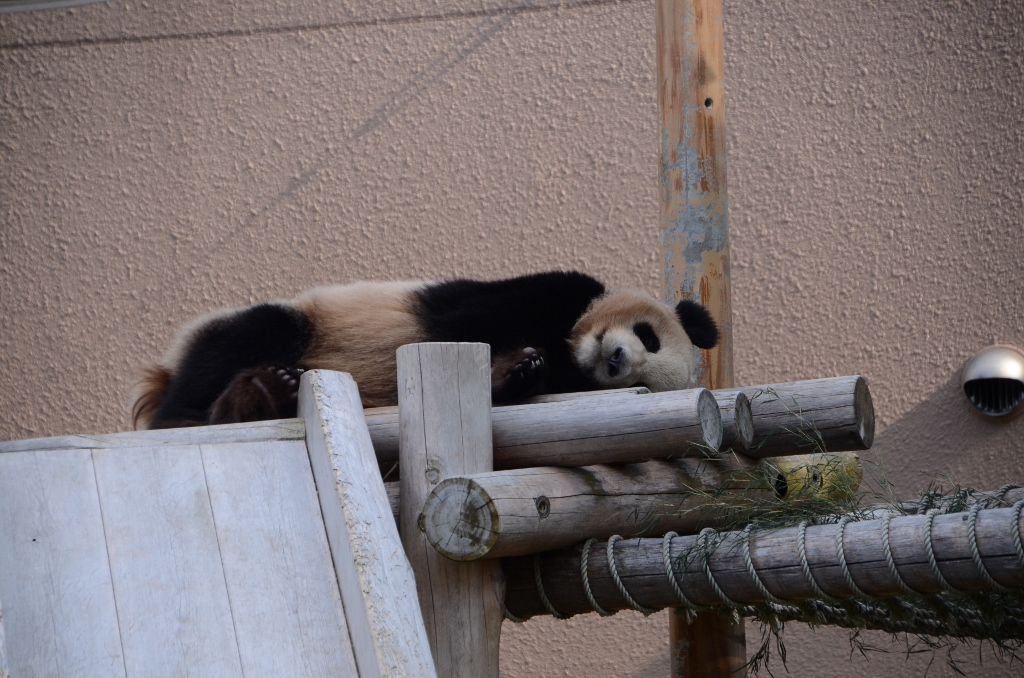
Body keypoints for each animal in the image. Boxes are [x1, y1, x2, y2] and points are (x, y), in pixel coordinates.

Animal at [132, 270, 716, 430]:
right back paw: (227, 403)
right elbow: (456, 328)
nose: (617, 360)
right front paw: (515, 363)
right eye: (648, 336)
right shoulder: (549, 292)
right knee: (252, 333)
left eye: (643, 374)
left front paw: (522, 370)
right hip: (298, 320)